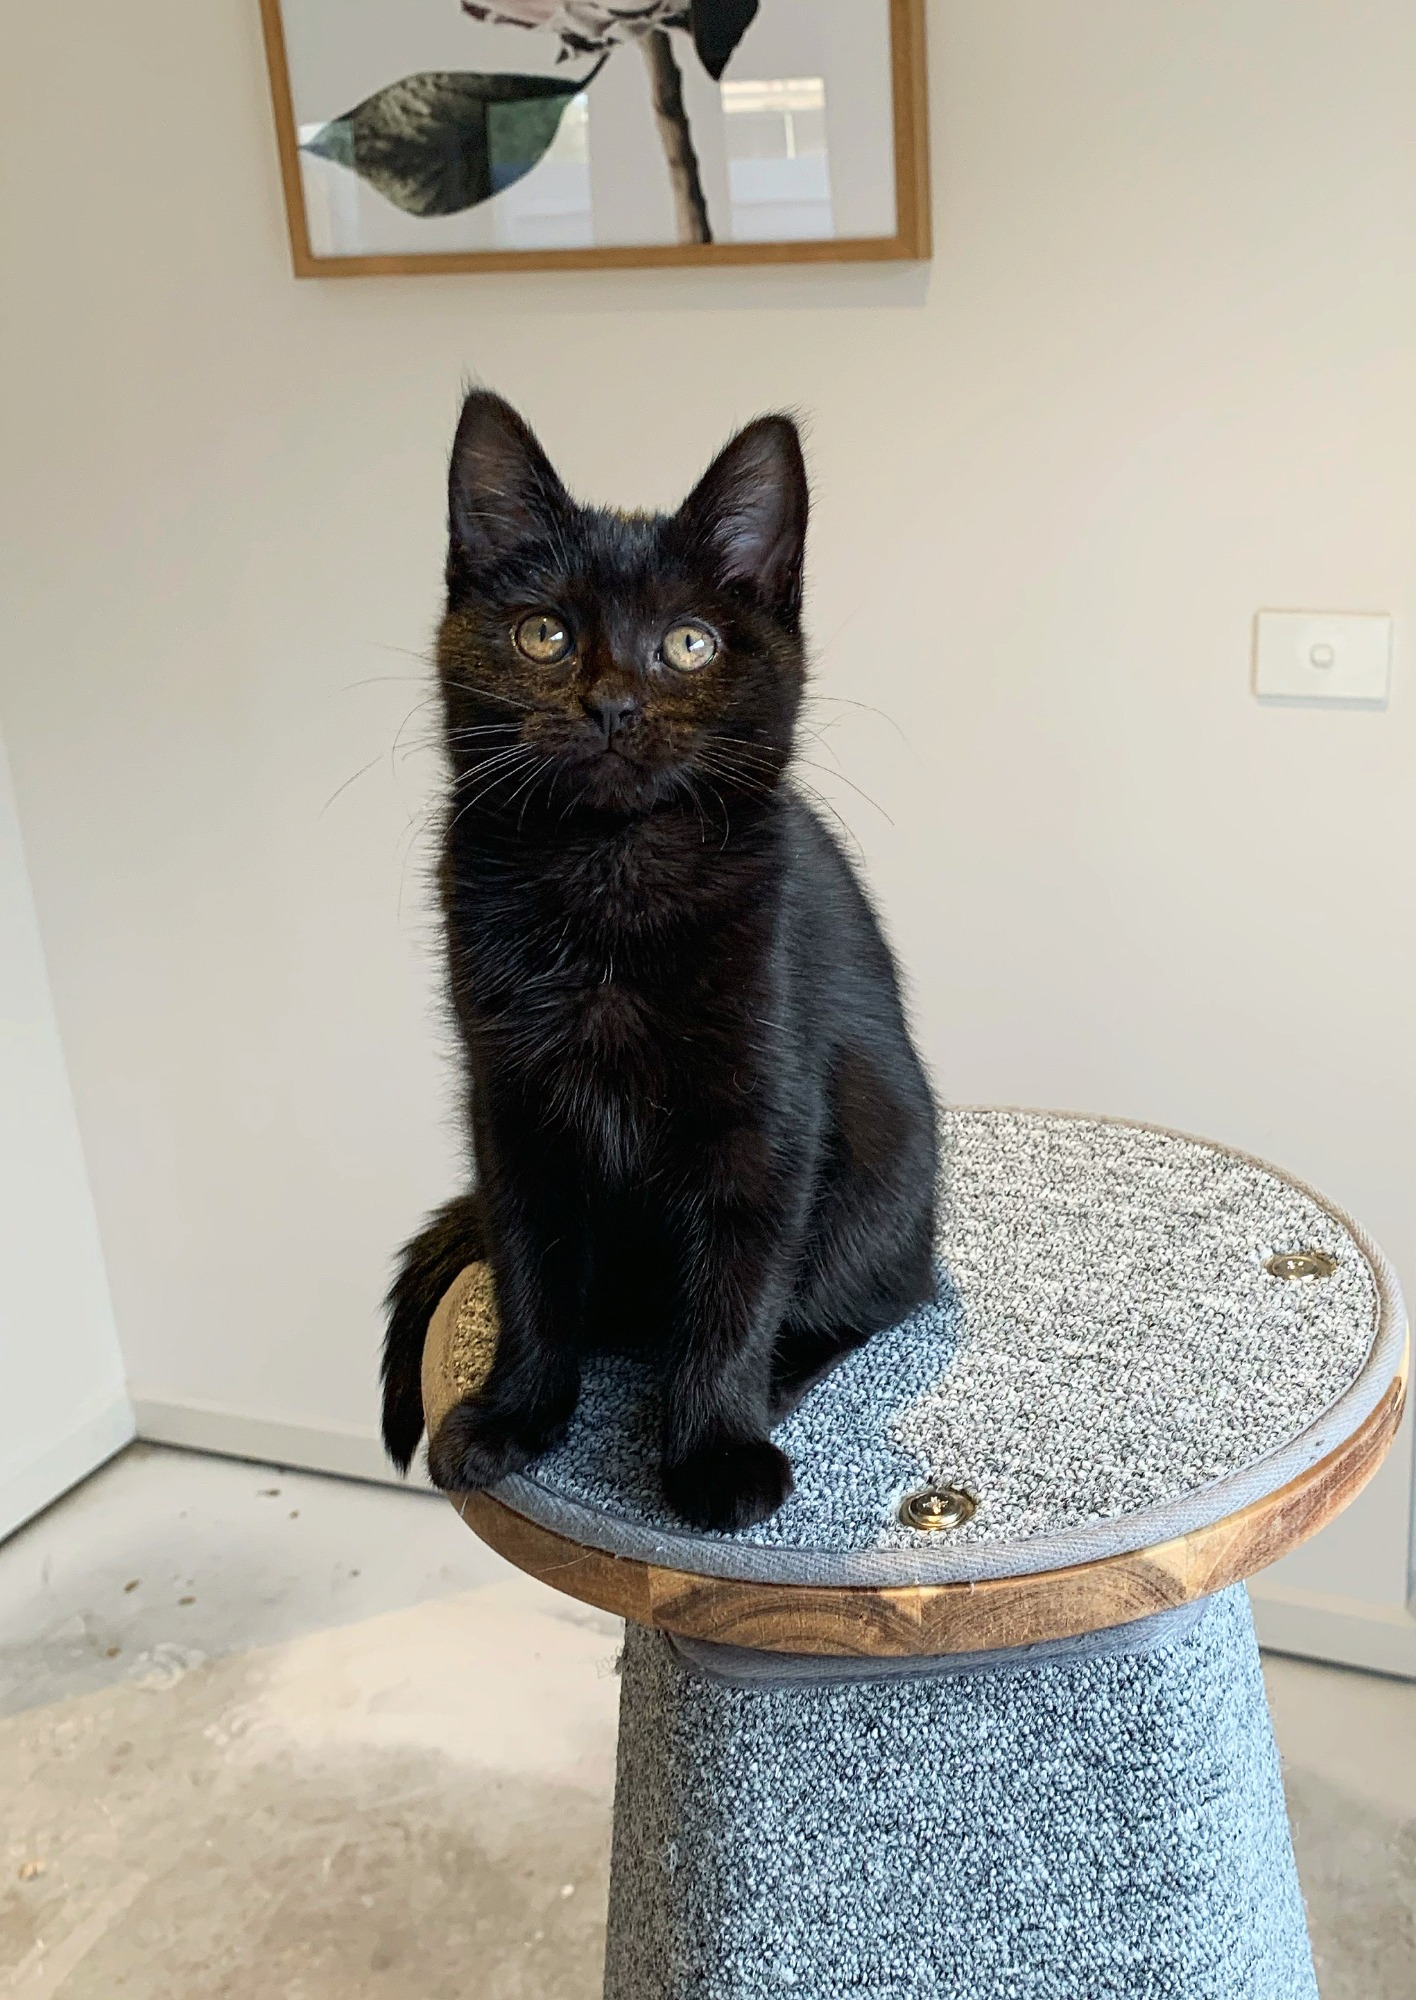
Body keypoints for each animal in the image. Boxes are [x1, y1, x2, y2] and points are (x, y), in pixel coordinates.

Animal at [380, 390, 938, 1531]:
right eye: (543, 634)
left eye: (688, 643)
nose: (611, 703)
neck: (610, 873)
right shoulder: (512, 1105)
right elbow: (532, 1266)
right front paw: (518, 1409)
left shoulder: (765, 1114)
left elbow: (734, 1289)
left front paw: (714, 1449)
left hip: (886, 1156)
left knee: (863, 1296)